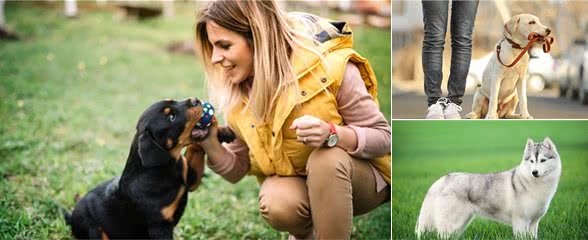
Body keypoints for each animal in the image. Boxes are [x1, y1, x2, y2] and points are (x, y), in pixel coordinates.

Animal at [65, 97, 235, 238]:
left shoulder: (191, 179)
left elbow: (196, 146)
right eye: (171, 117)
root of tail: (71, 217)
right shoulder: (159, 226)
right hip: (94, 229)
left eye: (174, 101)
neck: (166, 167)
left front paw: (221, 131)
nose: (196, 100)